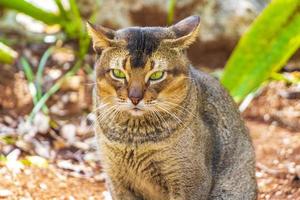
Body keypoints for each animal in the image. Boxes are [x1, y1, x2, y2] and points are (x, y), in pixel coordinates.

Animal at [87, 14, 258, 199]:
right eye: (118, 73)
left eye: (156, 75)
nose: (134, 98)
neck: (135, 139)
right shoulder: (116, 179)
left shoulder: (189, 181)